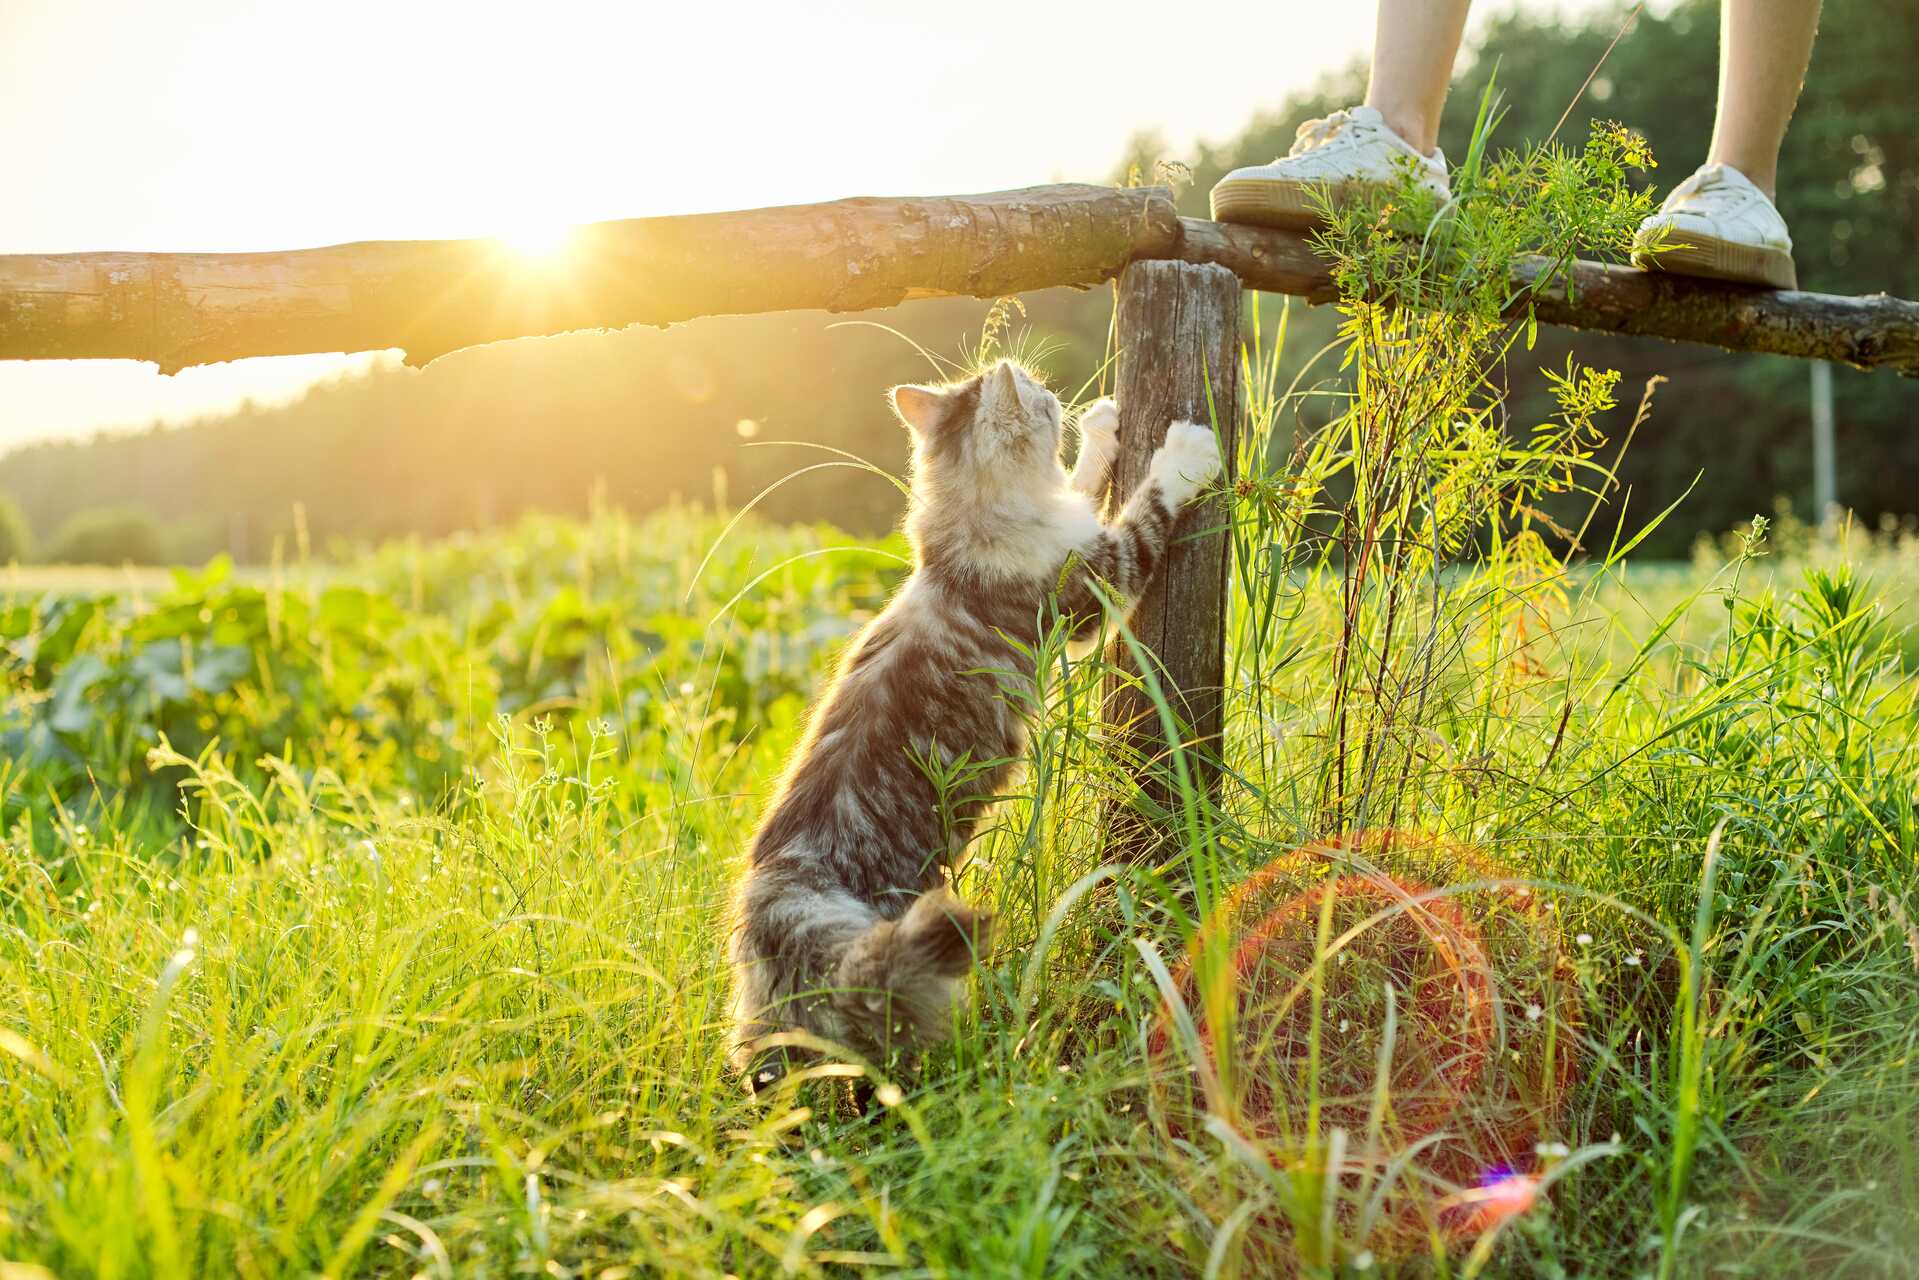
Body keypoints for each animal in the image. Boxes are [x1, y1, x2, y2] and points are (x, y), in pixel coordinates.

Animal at [725, 358, 1220, 1082]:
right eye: (1039, 394)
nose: (1051, 390)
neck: (959, 542)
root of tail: (779, 906)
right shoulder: (1095, 584)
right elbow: (1146, 509)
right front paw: (1186, 453)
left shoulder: (1073, 528)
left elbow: (1082, 480)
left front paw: (1101, 427)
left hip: (771, 1032)